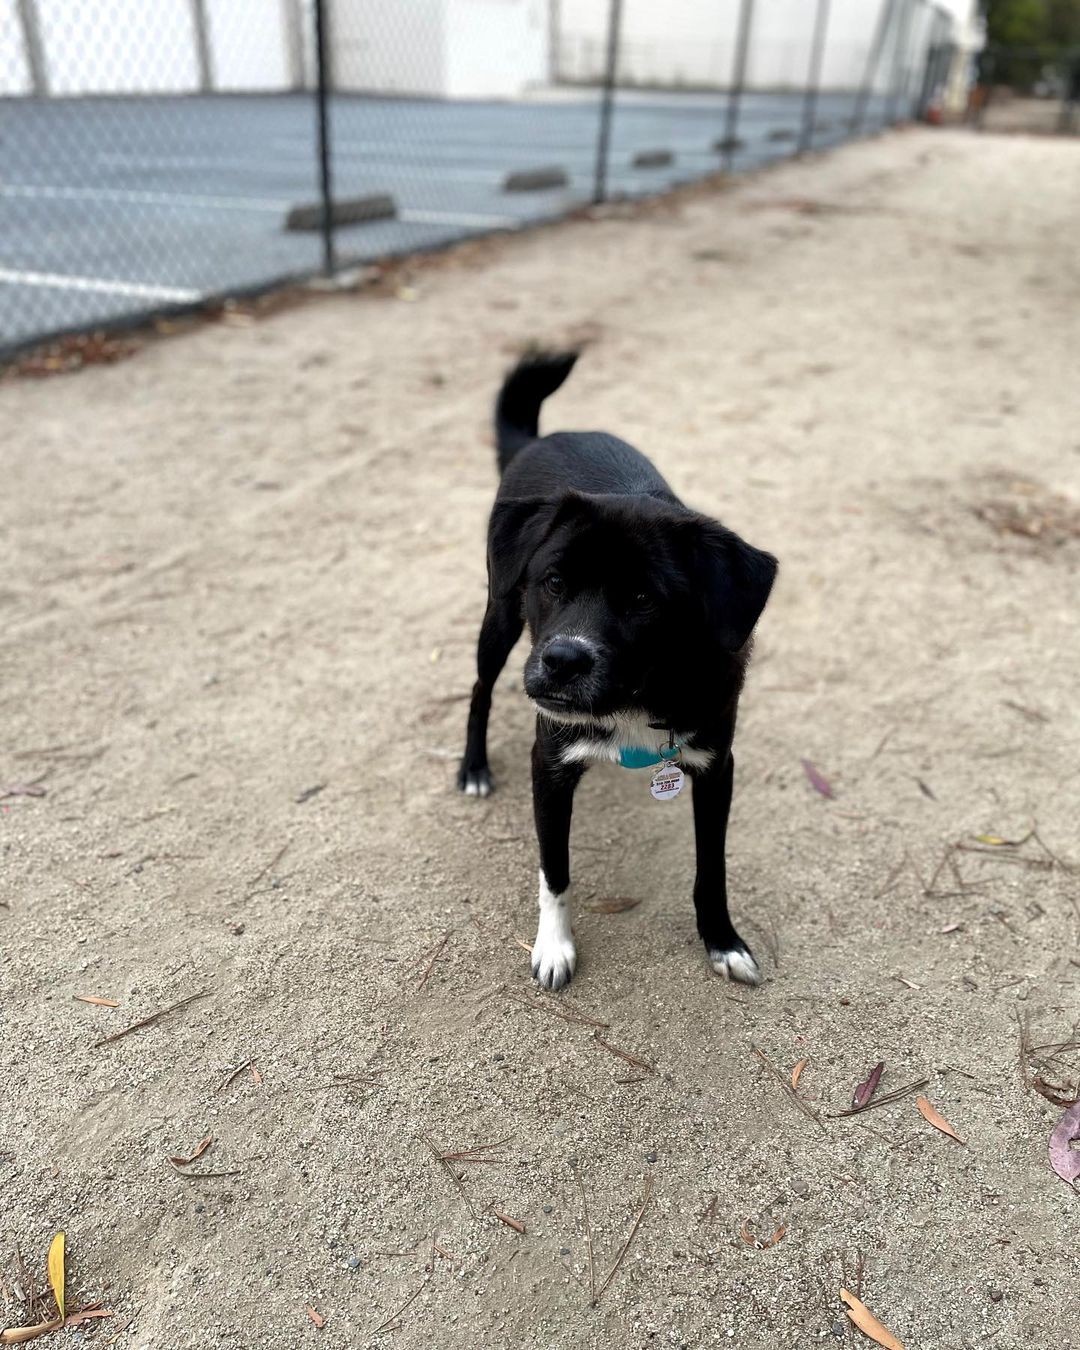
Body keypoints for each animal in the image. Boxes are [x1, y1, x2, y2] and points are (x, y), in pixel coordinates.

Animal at [456, 353, 777, 993]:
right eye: (554, 581)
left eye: (643, 599)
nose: (562, 661)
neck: (634, 695)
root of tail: (545, 436)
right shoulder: (549, 764)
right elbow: (554, 870)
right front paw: (554, 947)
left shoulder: (716, 766)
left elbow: (712, 866)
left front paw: (723, 941)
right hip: (499, 618)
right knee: (480, 690)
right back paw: (473, 767)